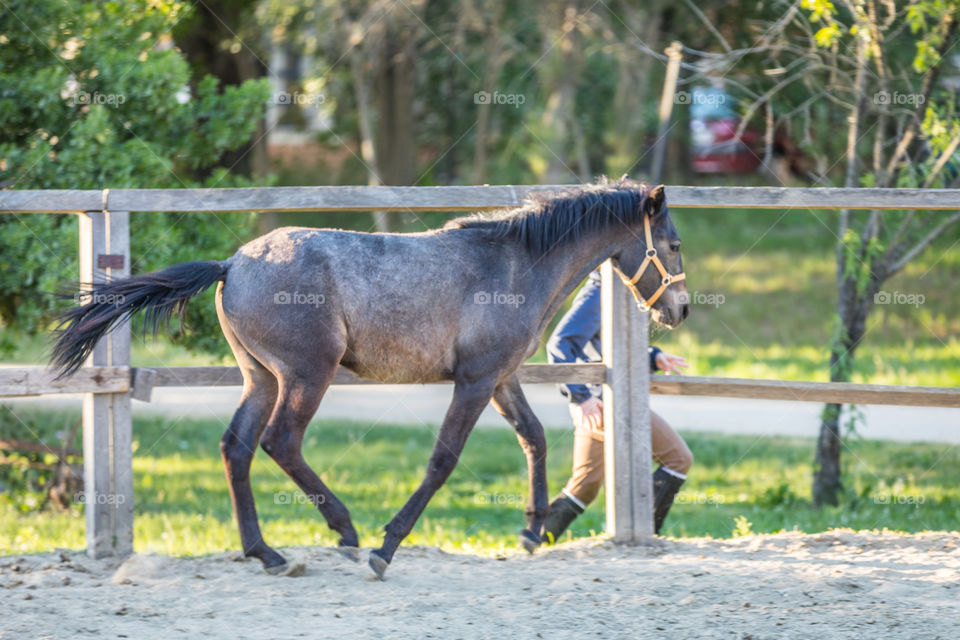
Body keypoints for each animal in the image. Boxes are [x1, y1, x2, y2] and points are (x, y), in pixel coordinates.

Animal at [50, 179, 688, 580]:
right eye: (674, 243)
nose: (679, 310)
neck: (514, 265)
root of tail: (232, 264)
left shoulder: (500, 377)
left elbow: (533, 438)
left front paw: (532, 532)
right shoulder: (475, 379)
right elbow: (443, 459)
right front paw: (387, 547)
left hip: (260, 377)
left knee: (237, 446)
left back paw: (269, 554)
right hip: (308, 374)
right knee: (280, 441)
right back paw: (347, 533)